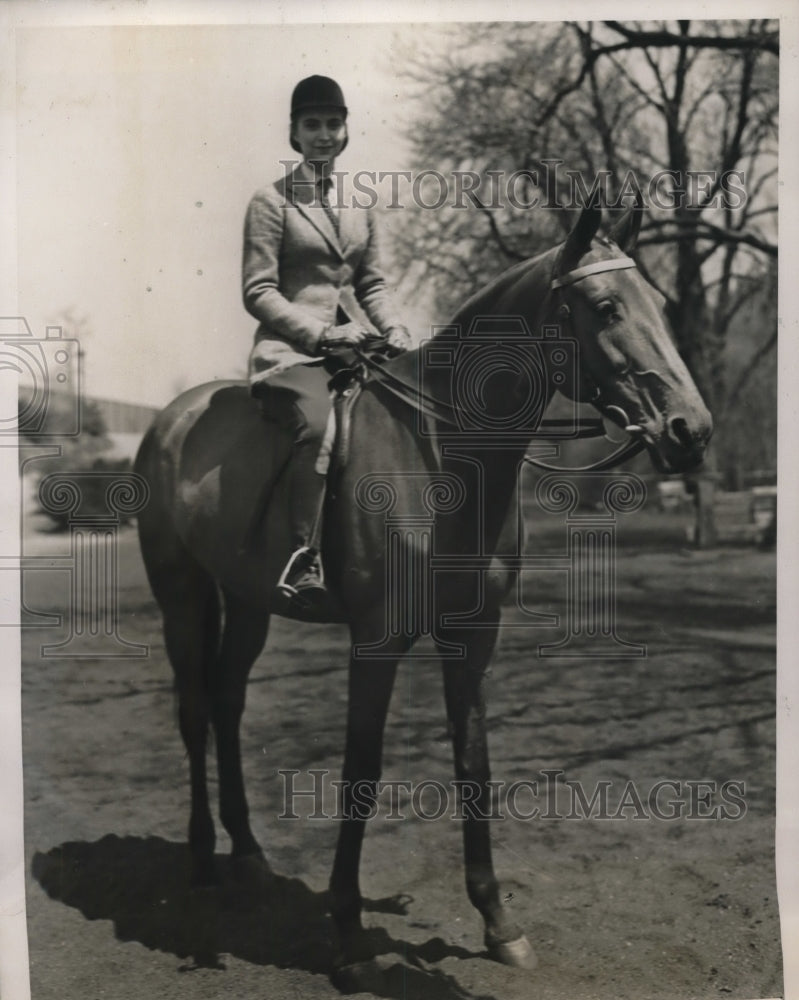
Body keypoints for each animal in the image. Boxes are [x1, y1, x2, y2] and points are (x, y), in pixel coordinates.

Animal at [136, 203, 712, 984]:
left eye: (655, 299)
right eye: (604, 306)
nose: (690, 429)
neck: (440, 453)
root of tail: (172, 417)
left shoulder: (473, 634)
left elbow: (473, 761)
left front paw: (498, 922)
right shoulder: (376, 641)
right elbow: (361, 770)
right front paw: (347, 933)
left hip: (247, 599)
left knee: (227, 701)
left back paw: (248, 853)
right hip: (182, 593)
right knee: (195, 709)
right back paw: (201, 860)